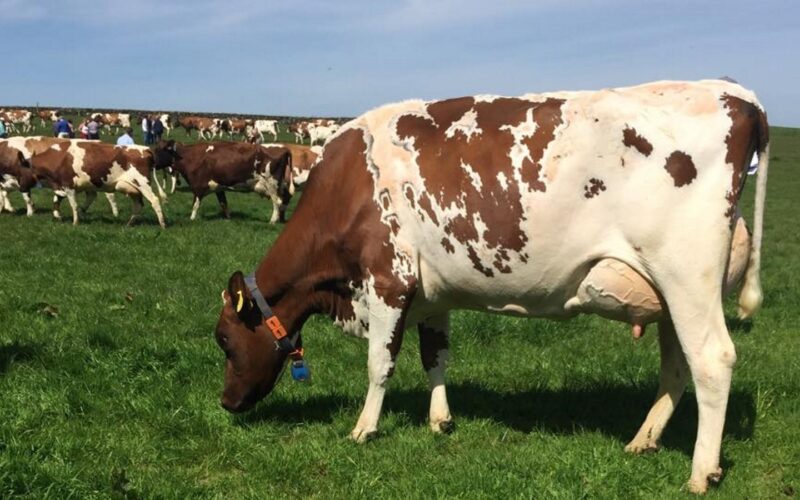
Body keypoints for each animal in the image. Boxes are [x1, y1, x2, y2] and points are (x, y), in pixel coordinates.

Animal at [29, 140, 166, 227]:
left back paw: (162, 224)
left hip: (143, 183)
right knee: (138, 205)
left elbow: (73, 205)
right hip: (132, 188)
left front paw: (75, 222)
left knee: (154, 200)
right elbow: (57, 199)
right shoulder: (67, 186)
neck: (59, 157)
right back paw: (129, 224)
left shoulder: (68, 185)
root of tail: (146, 149)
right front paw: (58, 215)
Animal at [153, 141, 293, 222]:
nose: (152, 161)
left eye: (159, 150)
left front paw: (192, 219)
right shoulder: (218, 188)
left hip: (271, 184)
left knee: (277, 202)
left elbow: (195, 205)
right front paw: (228, 219)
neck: (189, 156)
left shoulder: (198, 186)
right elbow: (223, 204)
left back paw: (272, 221)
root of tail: (284, 148)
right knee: (284, 200)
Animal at [213, 80, 769, 494]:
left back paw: (701, 471)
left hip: (686, 275)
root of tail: (735, 93)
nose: (225, 404)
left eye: (224, 340)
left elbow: (379, 364)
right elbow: (435, 356)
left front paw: (363, 428)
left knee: (712, 360)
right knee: (677, 364)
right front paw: (440, 420)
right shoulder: (430, 293)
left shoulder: (388, 279)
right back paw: (644, 439)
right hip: (668, 293)